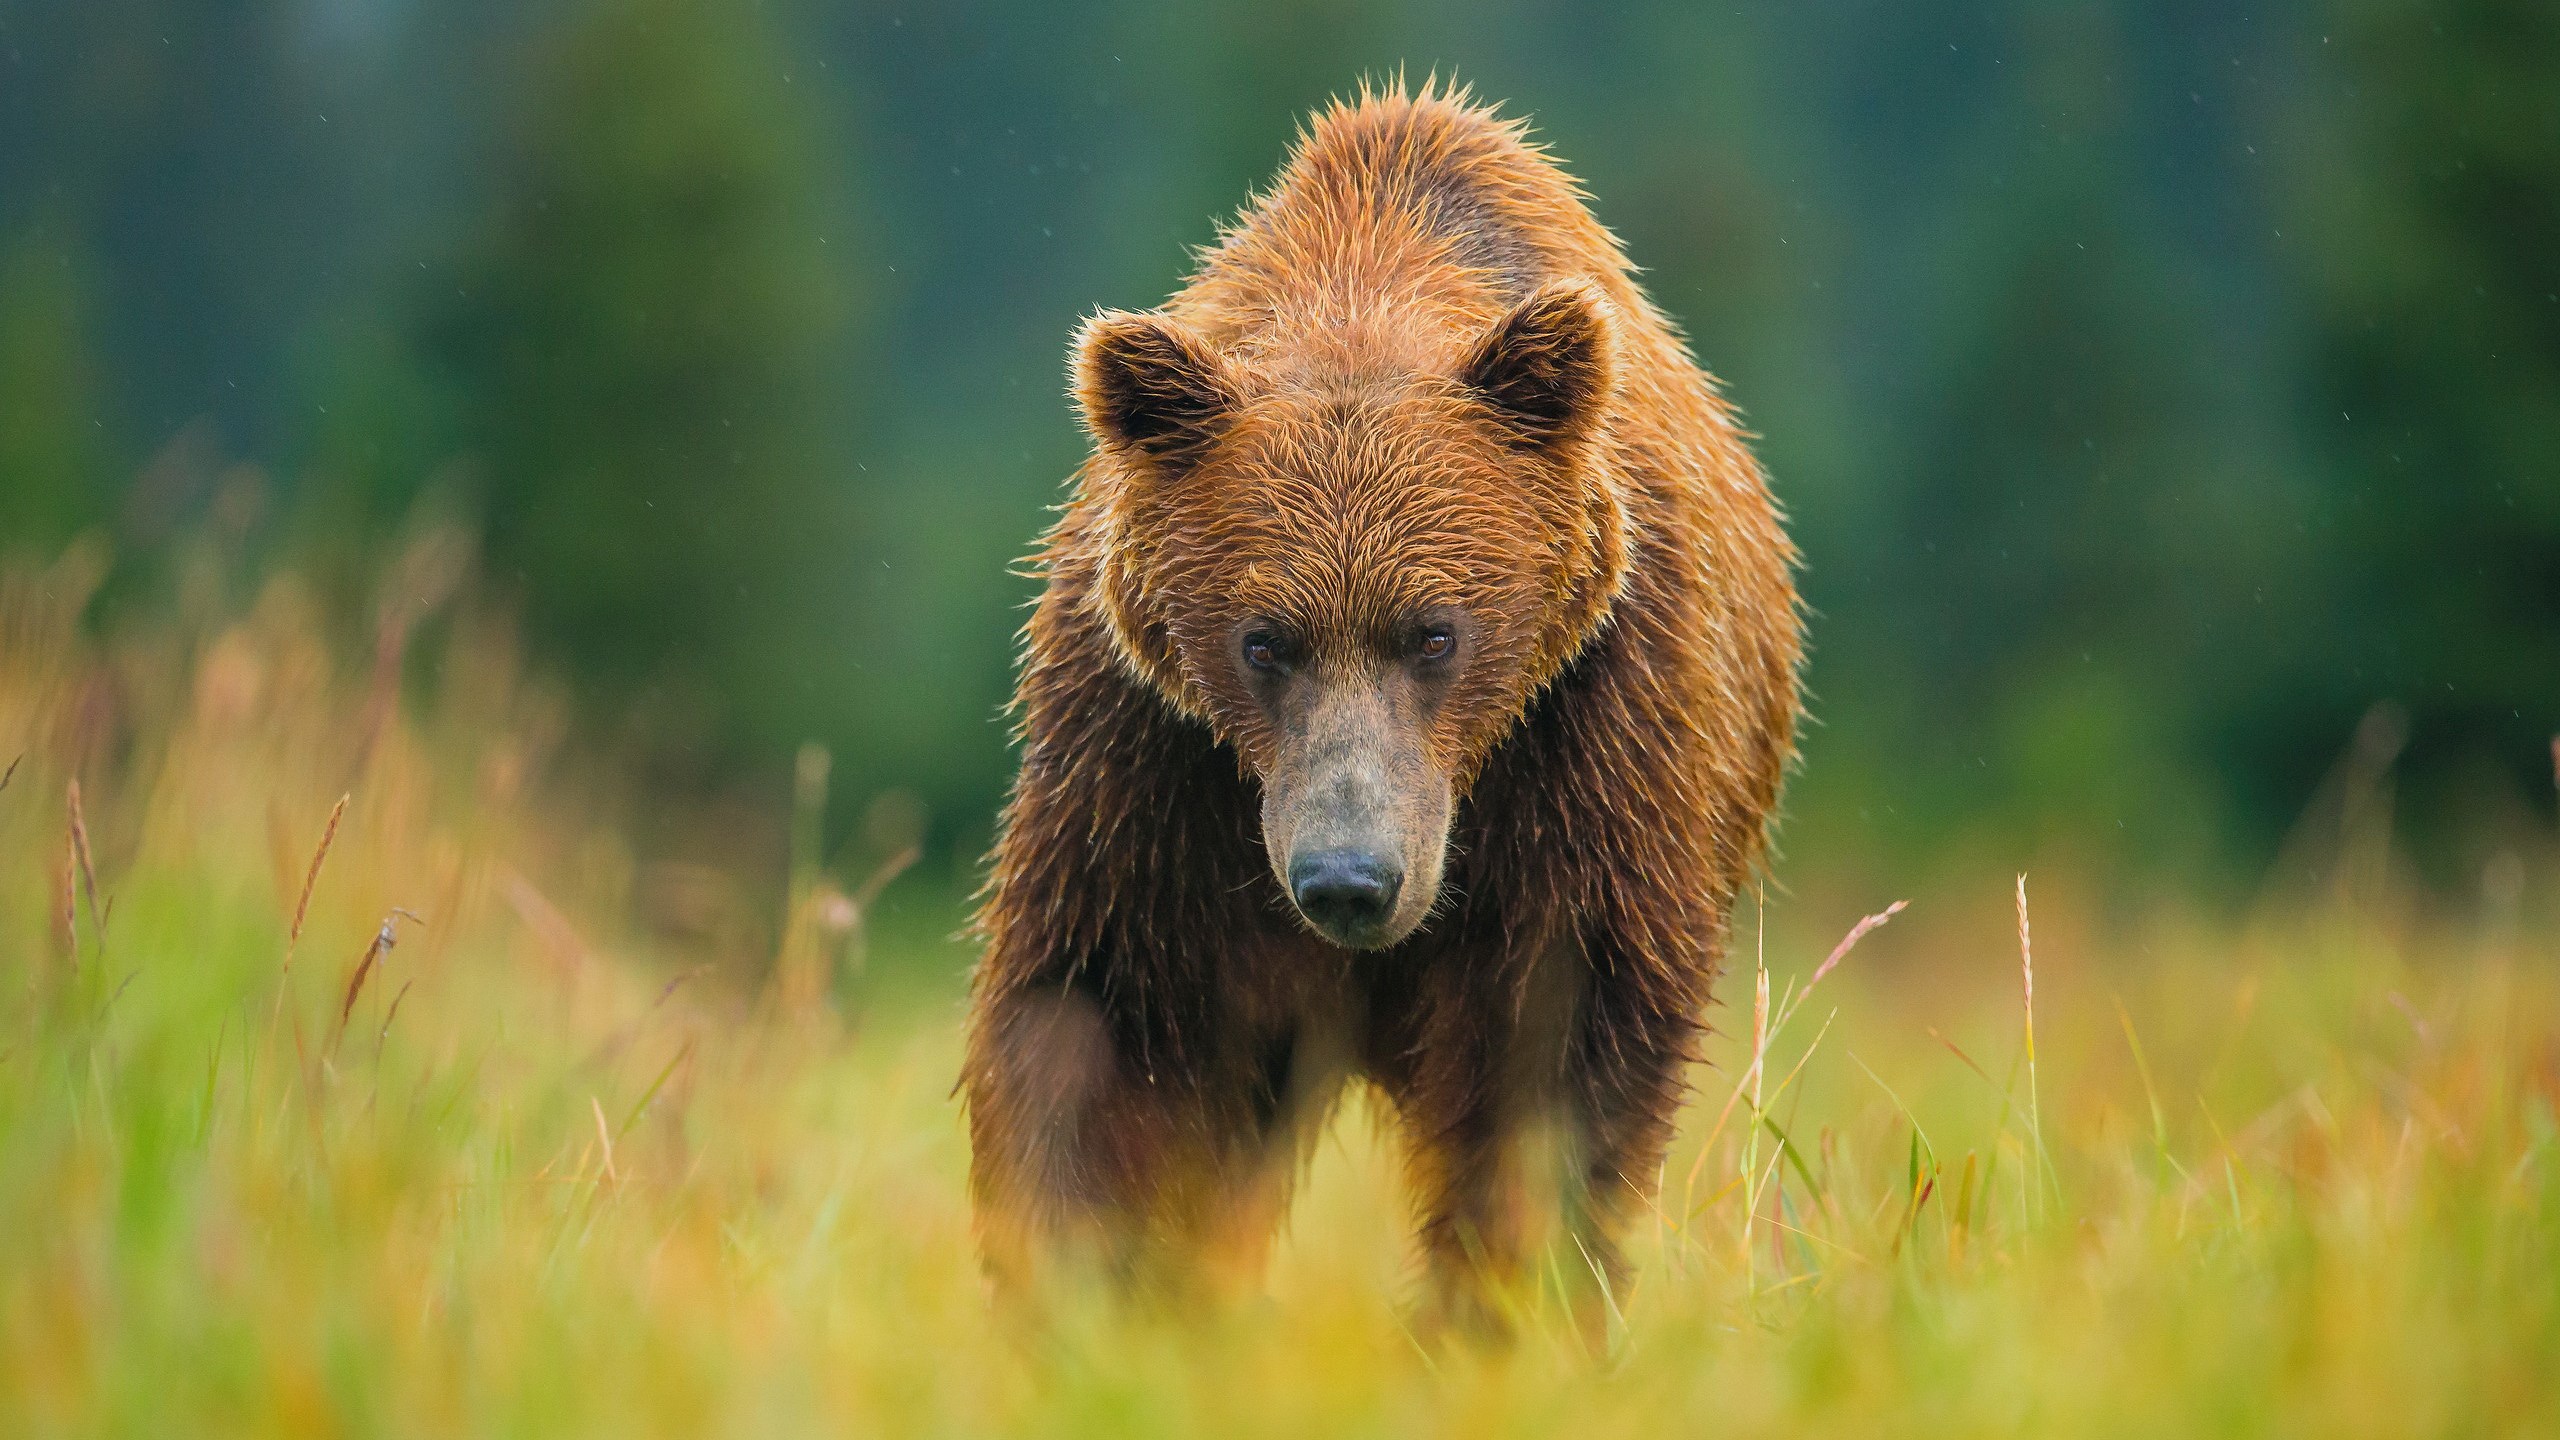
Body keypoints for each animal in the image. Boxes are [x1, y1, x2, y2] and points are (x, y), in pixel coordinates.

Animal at [962, 80, 1800, 1334]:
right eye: (1264, 642)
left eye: (1433, 633)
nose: (1349, 880)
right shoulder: (1153, 765)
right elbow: (1107, 1024)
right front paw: (1093, 1296)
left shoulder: (1592, 726)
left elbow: (1552, 1057)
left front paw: (1502, 1304)